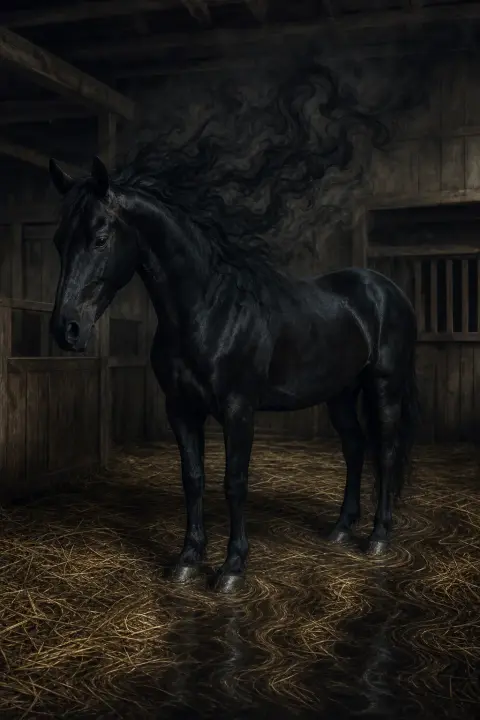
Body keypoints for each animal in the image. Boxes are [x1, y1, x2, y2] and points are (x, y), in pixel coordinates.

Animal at [48, 154, 419, 593]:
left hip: (384, 387)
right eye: (58, 241)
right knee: (356, 448)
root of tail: (385, 289)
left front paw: (231, 567)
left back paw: (378, 537)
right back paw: (342, 529)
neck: (208, 310)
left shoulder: (238, 410)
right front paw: (188, 560)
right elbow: (193, 478)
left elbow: (234, 482)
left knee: (387, 452)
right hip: (340, 393)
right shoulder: (181, 410)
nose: (66, 329)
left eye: (101, 238)